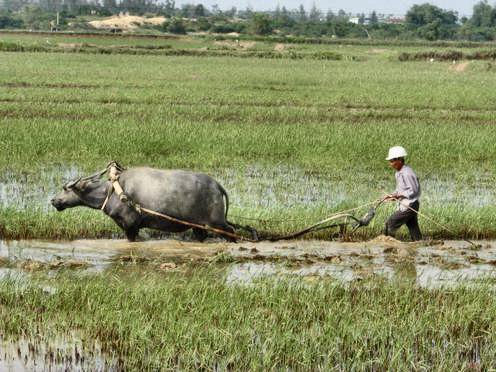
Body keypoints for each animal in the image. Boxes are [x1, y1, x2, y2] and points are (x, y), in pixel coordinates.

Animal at [50, 167, 234, 243]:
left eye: (66, 189)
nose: (53, 200)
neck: (113, 191)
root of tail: (217, 185)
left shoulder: (130, 225)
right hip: (198, 226)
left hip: (217, 223)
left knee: (232, 232)